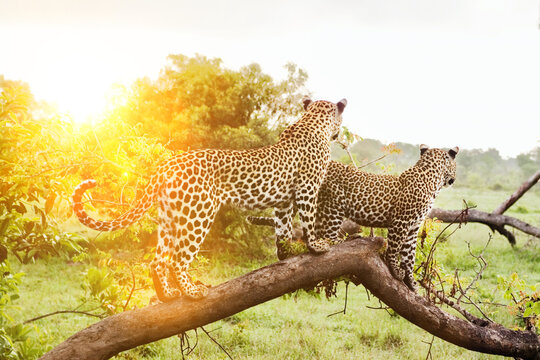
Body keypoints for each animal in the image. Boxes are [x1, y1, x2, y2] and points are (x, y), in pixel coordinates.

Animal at [71, 97, 348, 300]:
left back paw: (167, 294)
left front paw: (286, 252)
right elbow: (308, 220)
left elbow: (283, 227)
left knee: (158, 261)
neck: (313, 121)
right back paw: (192, 292)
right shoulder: (308, 188)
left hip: (171, 217)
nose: (339, 133)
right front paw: (316, 246)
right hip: (198, 215)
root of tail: (166, 165)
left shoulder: (283, 200)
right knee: (178, 260)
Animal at [247, 145, 458, 292]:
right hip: (332, 206)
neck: (432, 179)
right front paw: (395, 270)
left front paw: (412, 282)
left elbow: (409, 256)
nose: (453, 179)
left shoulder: (413, 228)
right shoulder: (401, 222)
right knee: (327, 237)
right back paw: (347, 239)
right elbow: (395, 249)